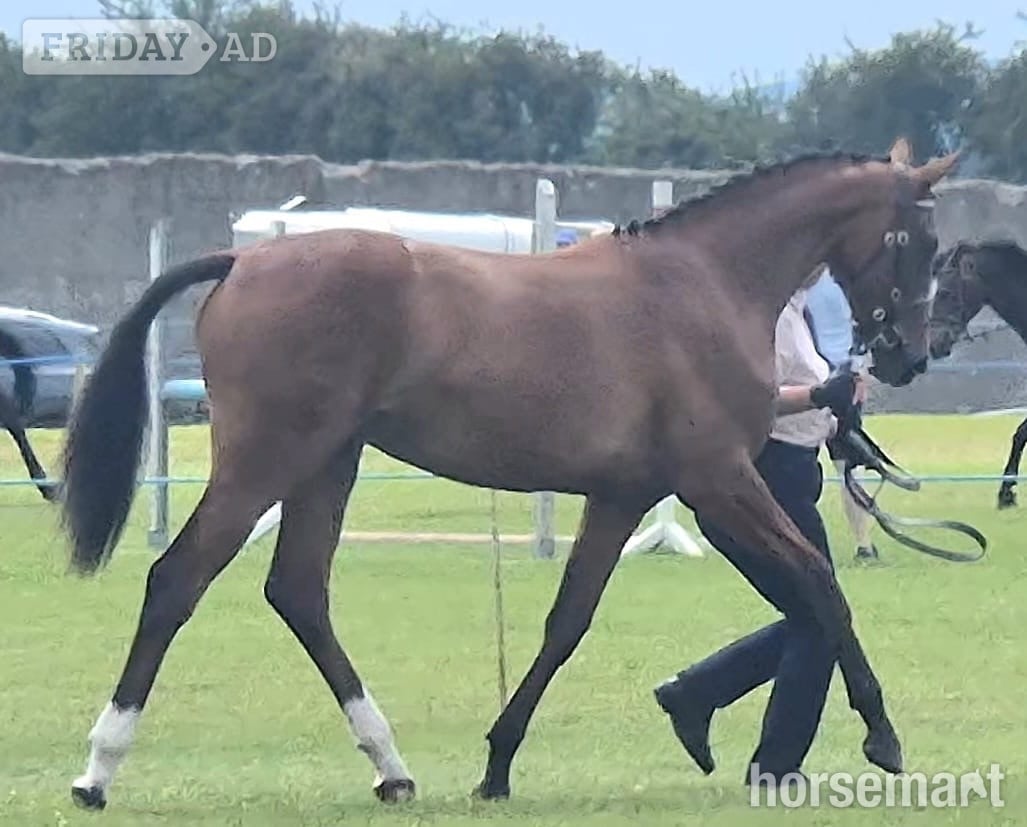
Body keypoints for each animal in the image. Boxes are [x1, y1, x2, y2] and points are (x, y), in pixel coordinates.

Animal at [58, 138, 958, 811]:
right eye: (919, 242)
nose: (910, 356)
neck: (703, 282)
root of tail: (242, 262)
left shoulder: (622, 496)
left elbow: (566, 622)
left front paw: (496, 763)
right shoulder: (718, 480)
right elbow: (819, 582)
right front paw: (881, 734)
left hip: (328, 463)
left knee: (299, 591)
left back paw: (391, 766)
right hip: (267, 460)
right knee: (178, 578)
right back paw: (98, 767)